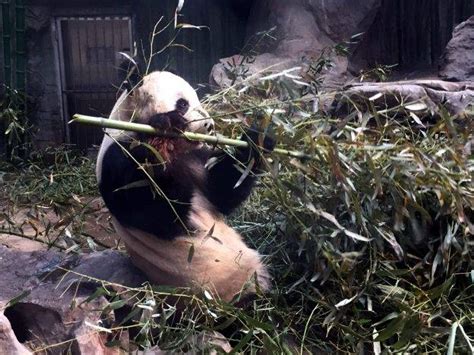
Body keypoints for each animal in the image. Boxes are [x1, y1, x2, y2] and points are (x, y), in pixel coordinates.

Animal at [96, 67, 274, 304]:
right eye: (182, 104)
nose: (209, 125)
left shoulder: (195, 157)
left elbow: (223, 191)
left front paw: (258, 139)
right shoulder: (118, 159)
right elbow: (159, 212)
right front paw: (165, 128)